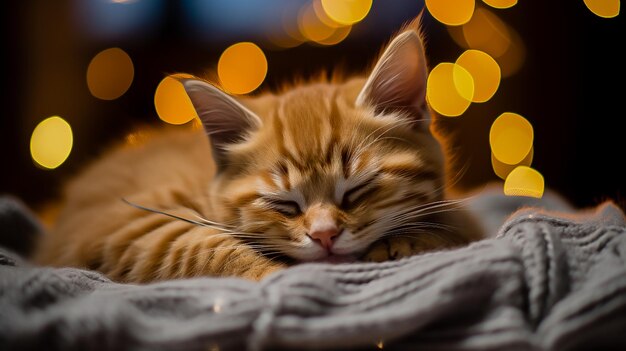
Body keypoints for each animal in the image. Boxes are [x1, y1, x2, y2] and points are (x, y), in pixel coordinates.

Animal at [34, 18, 480, 284]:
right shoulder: (122, 224)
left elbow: (460, 222)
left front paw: (413, 238)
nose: (325, 236)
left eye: (358, 189)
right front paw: (274, 274)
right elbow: (201, 247)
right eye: (283, 204)